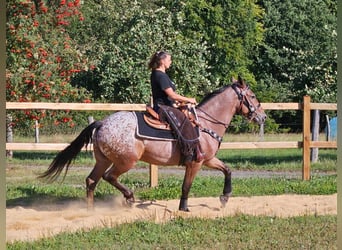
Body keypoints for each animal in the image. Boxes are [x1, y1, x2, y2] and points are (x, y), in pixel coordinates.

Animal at [38, 76, 268, 211]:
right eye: (252, 95)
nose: (263, 117)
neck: (204, 124)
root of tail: (102, 122)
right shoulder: (195, 163)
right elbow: (186, 185)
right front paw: (183, 208)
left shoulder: (207, 159)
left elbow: (227, 170)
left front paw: (225, 197)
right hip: (125, 162)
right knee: (108, 177)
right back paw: (129, 197)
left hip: (103, 160)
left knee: (91, 180)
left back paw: (91, 210)